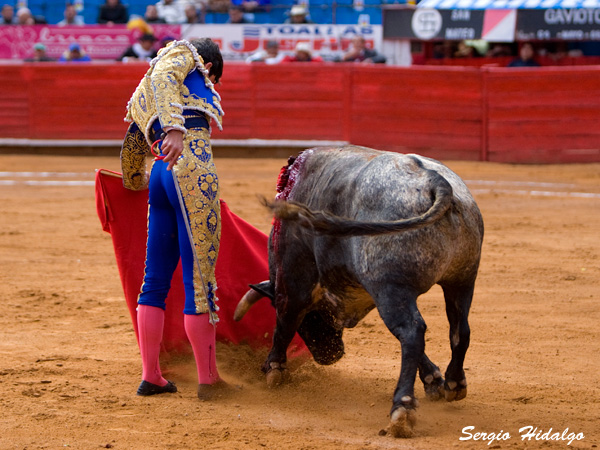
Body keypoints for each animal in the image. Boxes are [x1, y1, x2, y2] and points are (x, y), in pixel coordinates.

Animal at [232, 146, 486, 438]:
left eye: (312, 319)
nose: (329, 356)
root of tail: (435, 181)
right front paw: (433, 380)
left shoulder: (294, 279)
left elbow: (284, 323)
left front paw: (273, 369)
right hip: (462, 279)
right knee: (458, 330)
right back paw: (454, 384)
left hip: (392, 288)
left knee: (412, 332)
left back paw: (402, 409)